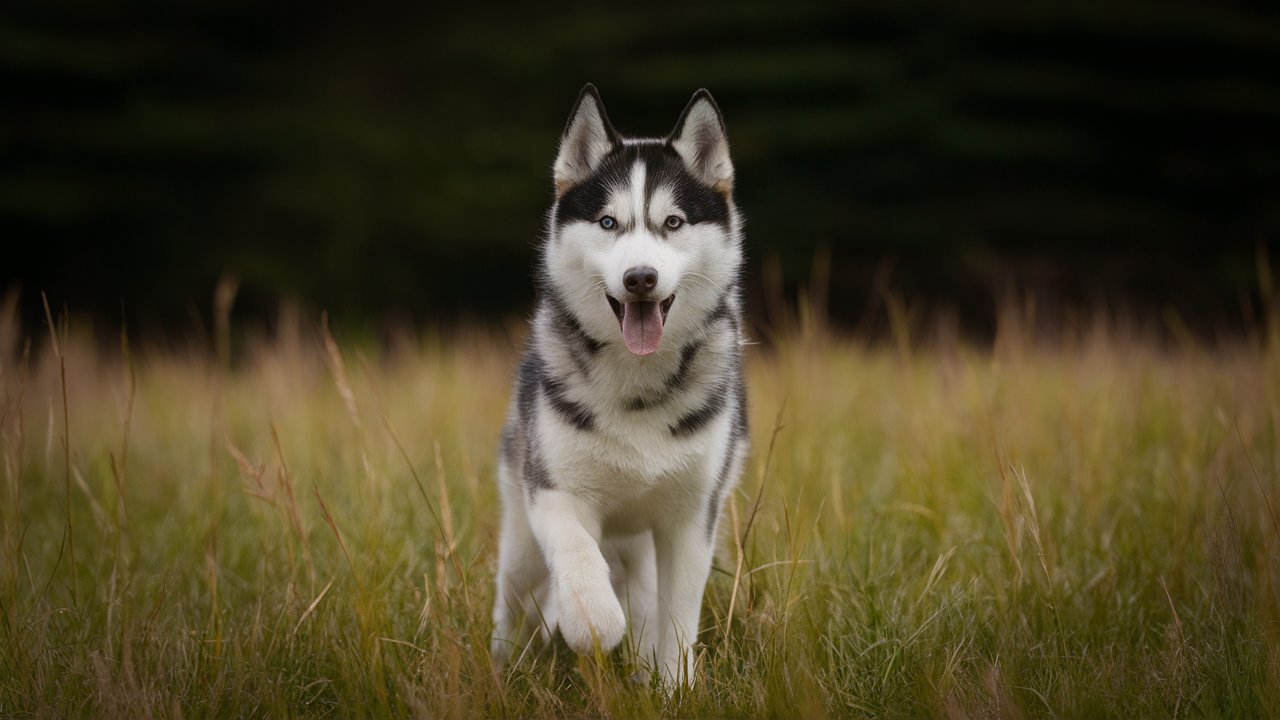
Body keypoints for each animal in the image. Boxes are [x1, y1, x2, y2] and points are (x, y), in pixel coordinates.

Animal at [488, 83, 747, 681]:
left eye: (673, 223)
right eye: (608, 223)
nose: (640, 279)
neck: (637, 385)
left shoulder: (691, 518)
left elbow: (677, 616)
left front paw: (672, 685)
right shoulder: (553, 493)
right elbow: (582, 570)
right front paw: (588, 624)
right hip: (521, 542)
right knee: (512, 600)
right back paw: (502, 668)